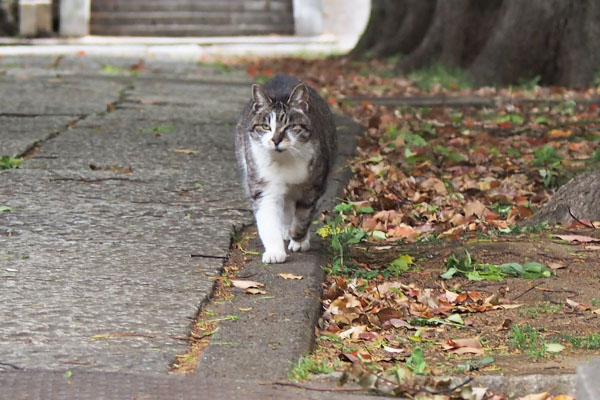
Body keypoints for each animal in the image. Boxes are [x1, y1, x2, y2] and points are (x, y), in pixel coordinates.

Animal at [236, 75, 338, 264]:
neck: (283, 161)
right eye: (266, 127)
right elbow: (268, 220)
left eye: (290, 126)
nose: (276, 140)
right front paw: (275, 252)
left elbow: (304, 217)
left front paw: (298, 239)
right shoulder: (263, 187)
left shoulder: (313, 187)